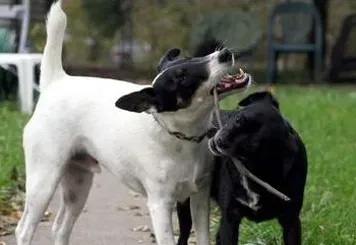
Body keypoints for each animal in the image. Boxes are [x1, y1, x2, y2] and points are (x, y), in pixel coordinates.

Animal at [15, 1, 252, 245]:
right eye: (181, 77)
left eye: (192, 58)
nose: (224, 54)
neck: (178, 136)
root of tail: (56, 82)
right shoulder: (160, 205)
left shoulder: (199, 199)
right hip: (44, 180)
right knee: (24, 229)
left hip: (77, 183)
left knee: (60, 227)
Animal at [177, 91, 308, 245]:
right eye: (238, 119)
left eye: (254, 146)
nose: (220, 140)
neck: (253, 172)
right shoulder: (230, 218)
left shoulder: (291, 221)